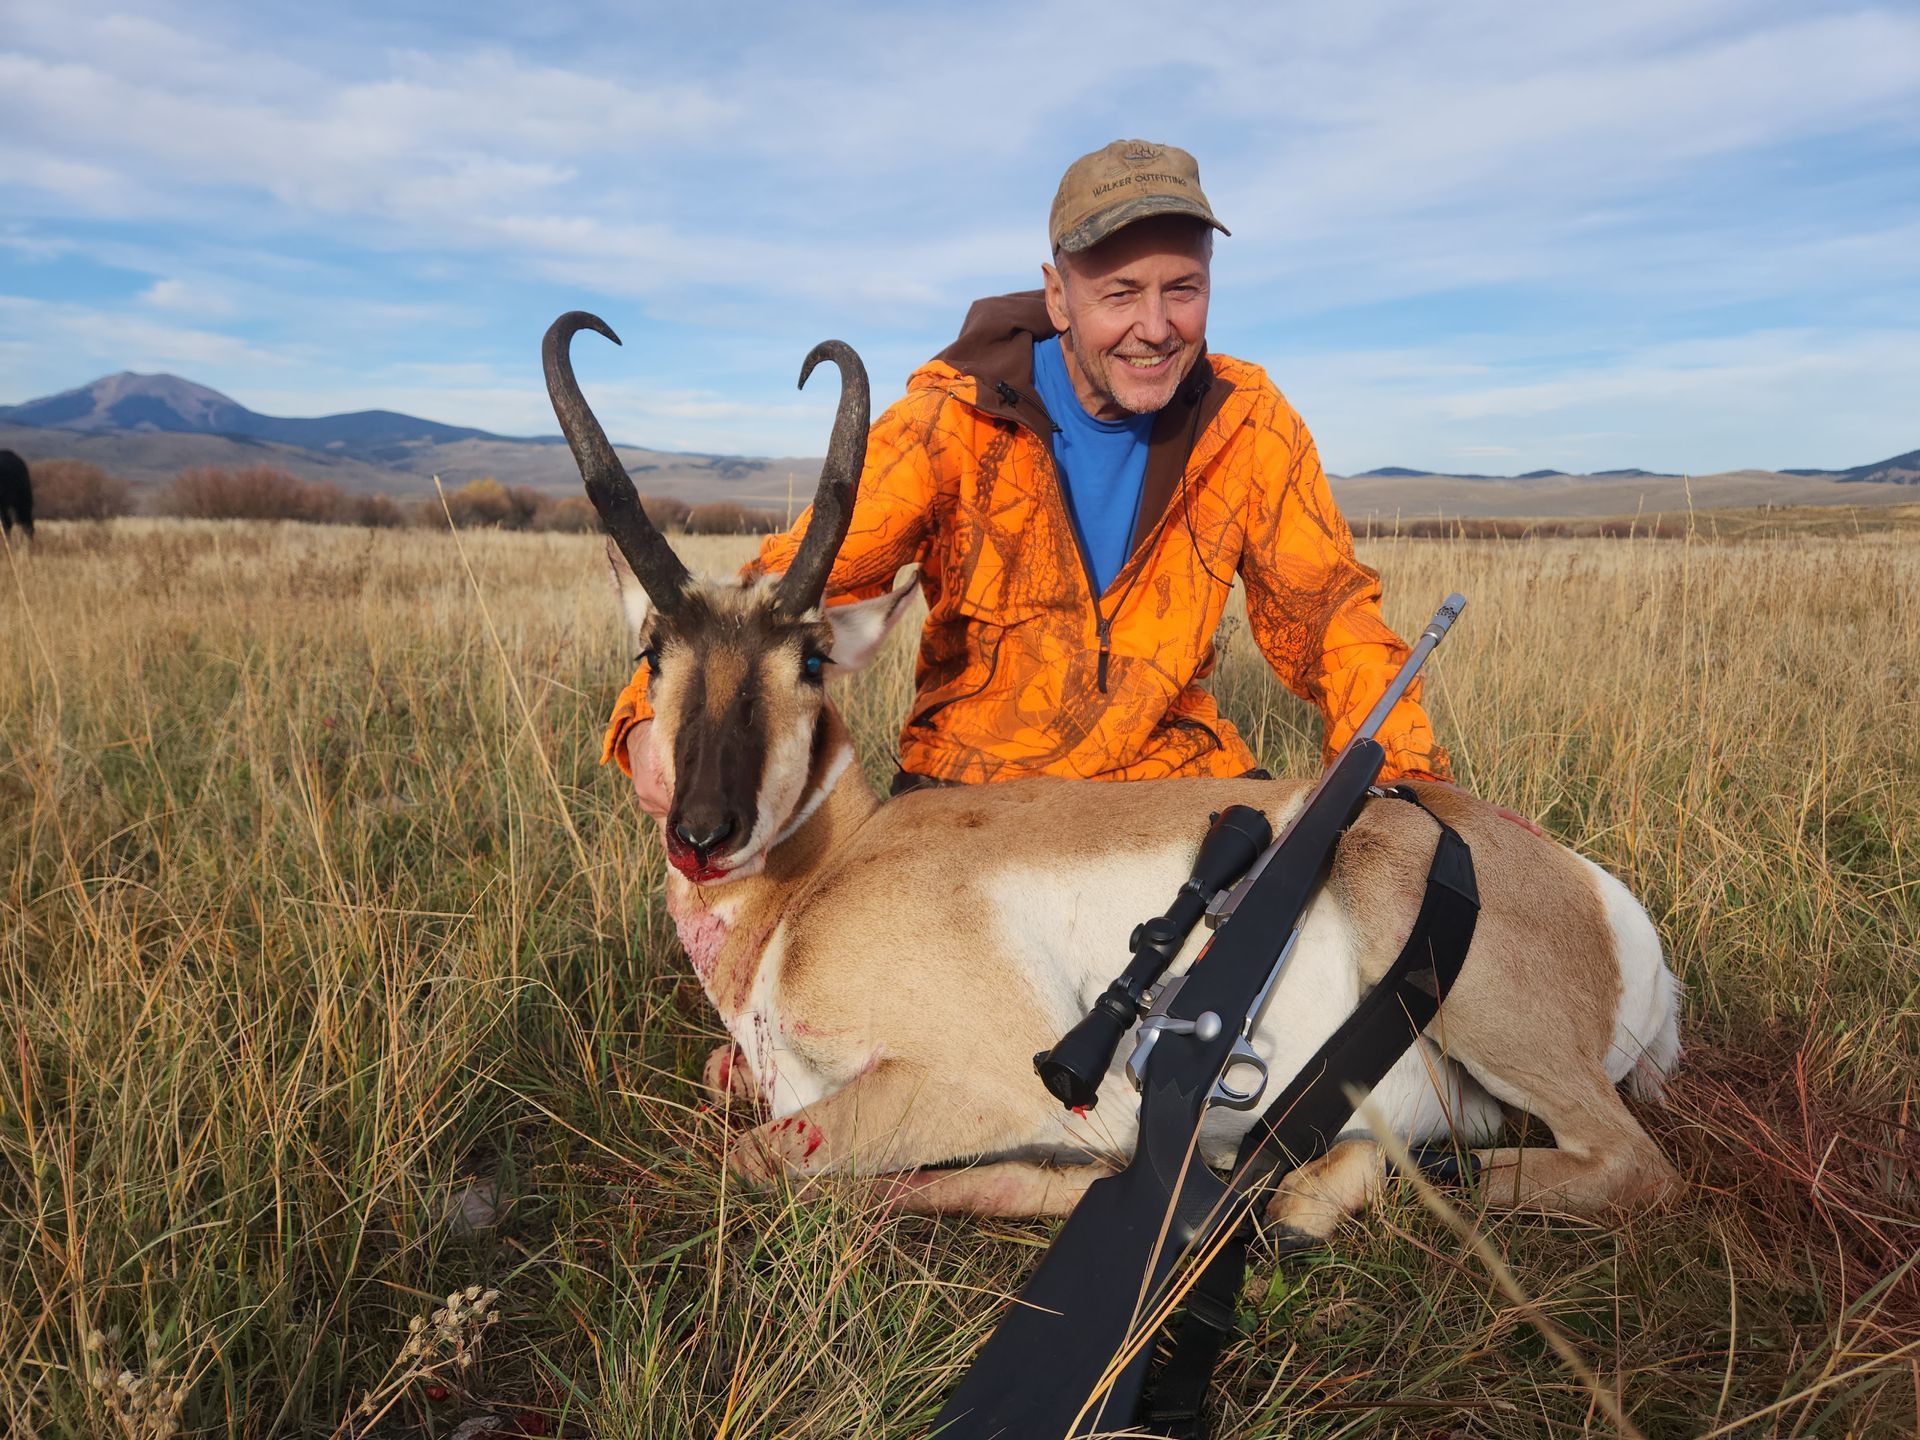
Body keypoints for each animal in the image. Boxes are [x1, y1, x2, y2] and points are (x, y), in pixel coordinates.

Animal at [545, 312, 1682, 1239]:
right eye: (653, 653)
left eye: (811, 662)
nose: (704, 829)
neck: (822, 882)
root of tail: (1601, 902)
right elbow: (724, 1086)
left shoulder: (984, 1082)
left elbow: (762, 1154)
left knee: (1627, 1166)